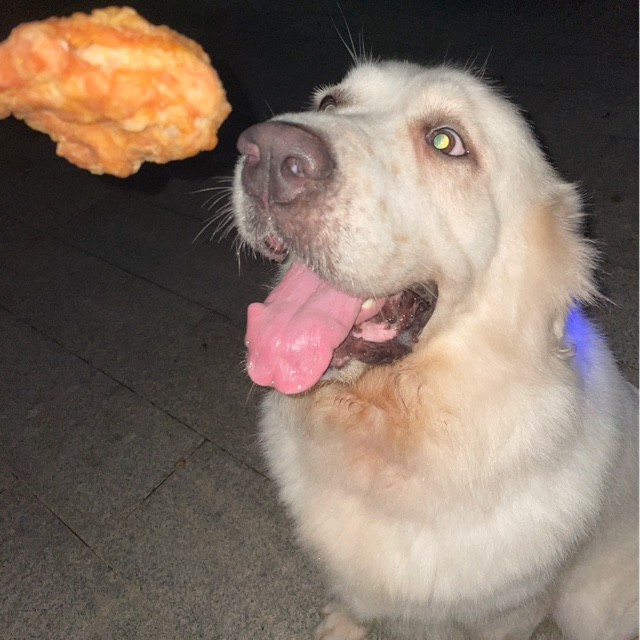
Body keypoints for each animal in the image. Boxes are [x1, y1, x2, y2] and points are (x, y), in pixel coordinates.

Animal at [231, 61, 638, 639]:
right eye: (329, 103)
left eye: (446, 141)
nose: (267, 152)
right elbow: (355, 596)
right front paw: (344, 623)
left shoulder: (510, 611)